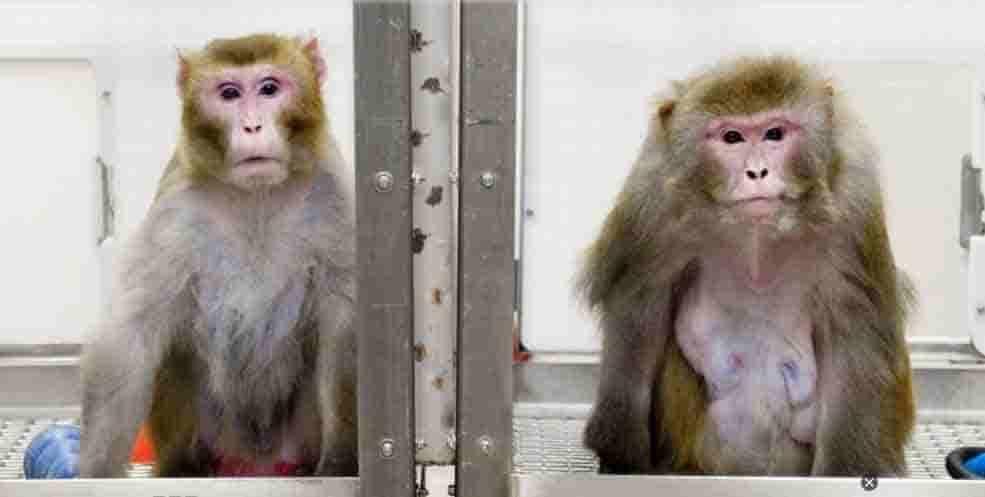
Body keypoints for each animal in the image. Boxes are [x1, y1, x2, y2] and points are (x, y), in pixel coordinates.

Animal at [79, 33, 356, 478]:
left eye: (269, 88)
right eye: (229, 94)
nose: (252, 125)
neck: (257, 197)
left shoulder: (334, 197)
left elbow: (343, 330)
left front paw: (340, 463)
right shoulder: (175, 205)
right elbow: (131, 333)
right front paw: (95, 472)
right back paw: (185, 468)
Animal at [578, 55, 915, 477]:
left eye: (774, 133)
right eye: (732, 138)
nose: (756, 173)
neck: (756, 234)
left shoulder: (855, 204)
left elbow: (855, 339)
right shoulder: (651, 204)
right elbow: (637, 316)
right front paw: (622, 457)